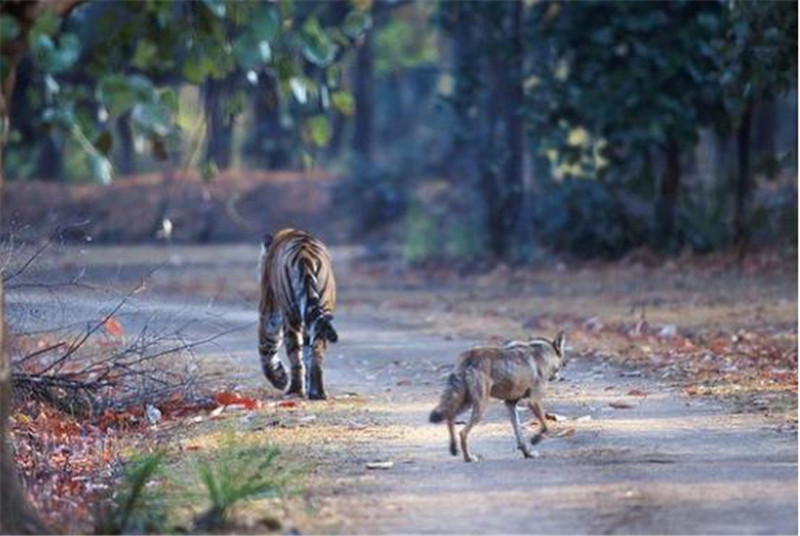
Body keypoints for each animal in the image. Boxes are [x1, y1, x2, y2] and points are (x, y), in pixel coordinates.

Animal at [260, 228, 338, 400]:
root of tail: (305, 254)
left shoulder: (269, 308)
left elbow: (266, 346)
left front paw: (279, 379)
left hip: (291, 316)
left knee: (295, 356)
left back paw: (293, 390)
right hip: (323, 308)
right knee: (316, 350)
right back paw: (317, 392)